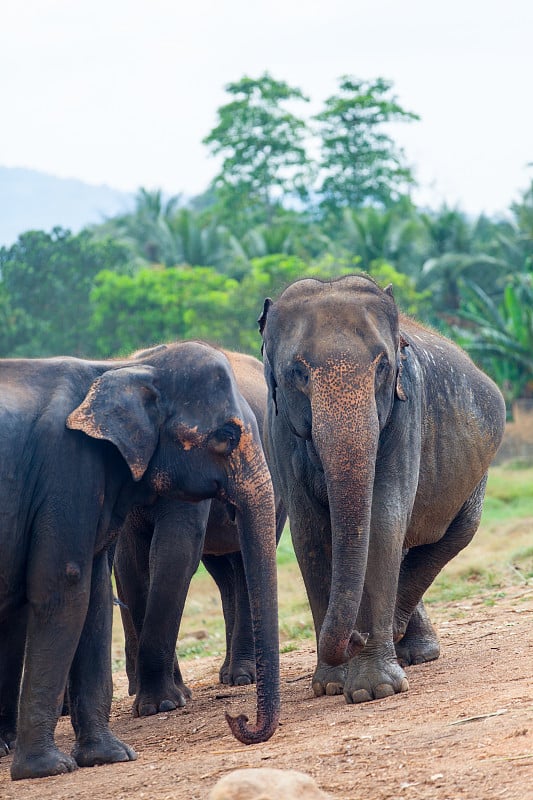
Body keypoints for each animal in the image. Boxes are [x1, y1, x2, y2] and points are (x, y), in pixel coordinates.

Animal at [113, 350, 286, 720]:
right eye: (226, 437)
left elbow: (173, 551)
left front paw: (163, 704)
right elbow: (132, 564)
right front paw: (166, 700)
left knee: (242, 565)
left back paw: (240, 677)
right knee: (224, 572)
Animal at [260, 276, 504, 708]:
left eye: (383, 367)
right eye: (297, 372)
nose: (355, 639)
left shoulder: (406, 411)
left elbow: (383, 521)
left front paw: (373, 690)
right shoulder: (279, 431)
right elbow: (310, 535)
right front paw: (332, 685)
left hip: (477, 473)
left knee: (453, 536)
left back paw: (406, 644)